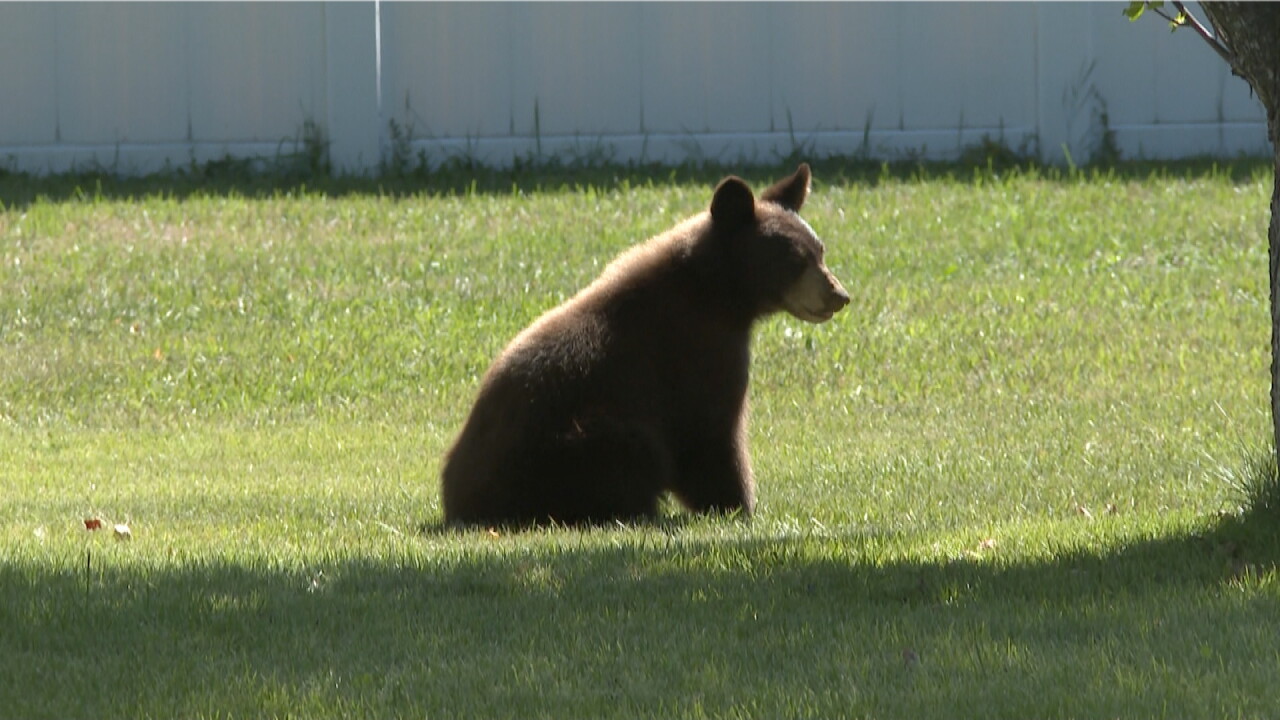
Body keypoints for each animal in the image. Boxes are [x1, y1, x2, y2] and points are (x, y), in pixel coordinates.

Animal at [440, 163, 849, 527]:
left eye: (820, 251)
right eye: (795, 259)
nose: (839, 295)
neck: (717, 293)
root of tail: (460, 501)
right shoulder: (698, 350)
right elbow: (713, 432)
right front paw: (736, 505)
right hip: (572, 447)